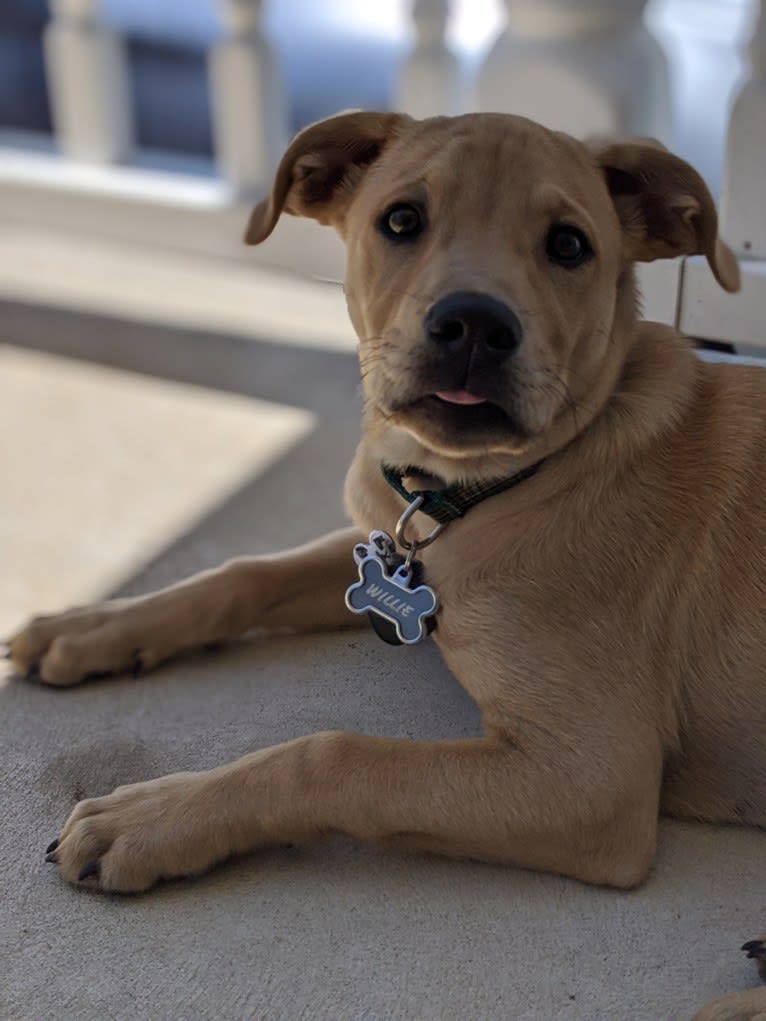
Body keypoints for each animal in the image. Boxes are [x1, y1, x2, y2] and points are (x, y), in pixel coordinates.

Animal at [7, 111, 766, 1021]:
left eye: (570, 244)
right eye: (401, 220)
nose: (474, 324)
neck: (475, 492)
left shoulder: (594, 779)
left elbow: (333, 754)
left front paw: (151, 816)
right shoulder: (382, 548)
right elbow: (241, 573)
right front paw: (91, 624)